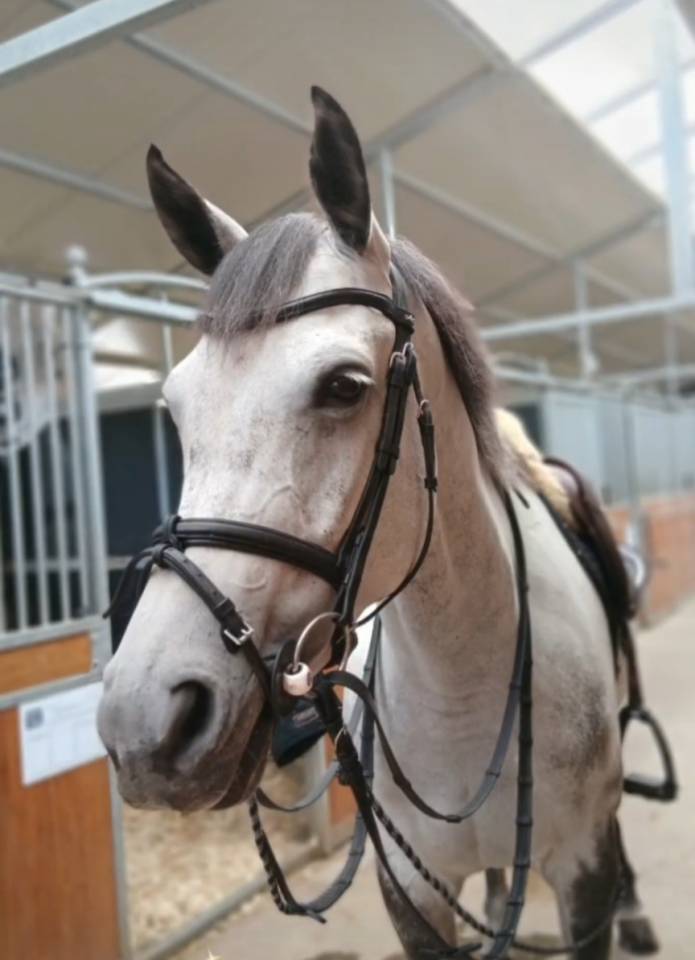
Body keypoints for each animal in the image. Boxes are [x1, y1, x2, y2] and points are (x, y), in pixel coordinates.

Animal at [97, 87, 661, 959]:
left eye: (343, 385)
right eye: (175, 406)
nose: (144, 721)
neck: (461, 680)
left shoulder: (582, 872)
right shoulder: (413, 895)